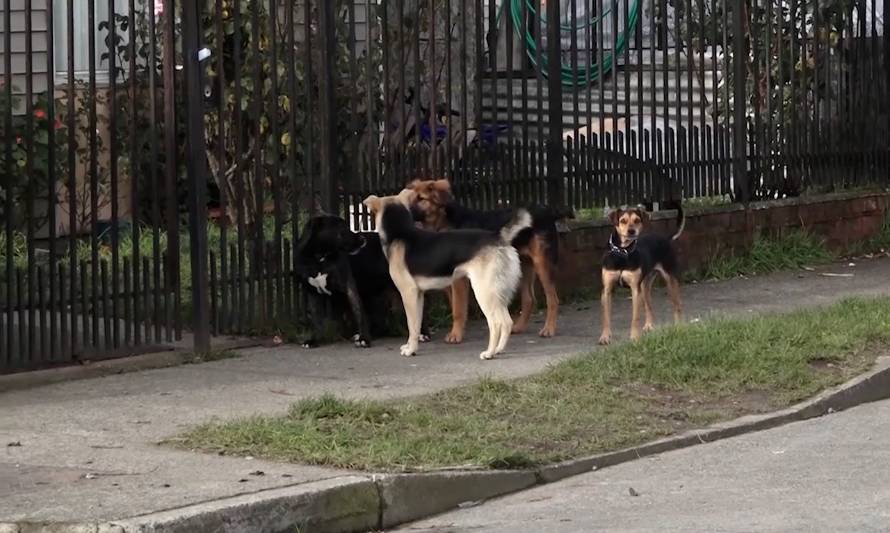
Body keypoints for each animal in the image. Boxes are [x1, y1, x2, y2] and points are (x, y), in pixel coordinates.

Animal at [360, 189, 528, 360]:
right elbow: (417, 325)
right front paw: (410, 346)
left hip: (484, 293)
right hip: (499, 294)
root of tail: (498, 238)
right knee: (507, 322)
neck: (400, 232)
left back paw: (489, 353)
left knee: (496, 323)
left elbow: (411, 326)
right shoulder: (418, 295)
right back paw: (499, 349)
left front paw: (411, 349)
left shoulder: (409, 294)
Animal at [402, 179, 568, 342]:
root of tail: (548, 212)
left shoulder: (459, 279)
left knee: (553, 299)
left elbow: (458, 308)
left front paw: (456, 335)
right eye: (411, 198)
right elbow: (456, 306)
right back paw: (519, 327)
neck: (443, 220)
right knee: (529, 299)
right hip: (523, 265)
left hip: (542, 263)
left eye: (421, 199)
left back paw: (548, 329)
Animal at [596, 204, 688, 344]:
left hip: (670, 281)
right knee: (649, 308)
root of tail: (665, 239)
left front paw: (634, 337)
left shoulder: (635, 289)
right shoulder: (607, 290)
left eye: (637, 220)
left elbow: (635, 317)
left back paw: (679, 327)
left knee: (677, 306)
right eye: (622, 220)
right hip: (644, 287)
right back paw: (649, 325)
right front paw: (605, 337)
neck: (623, 253)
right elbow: (605, 317)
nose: (631, 231)